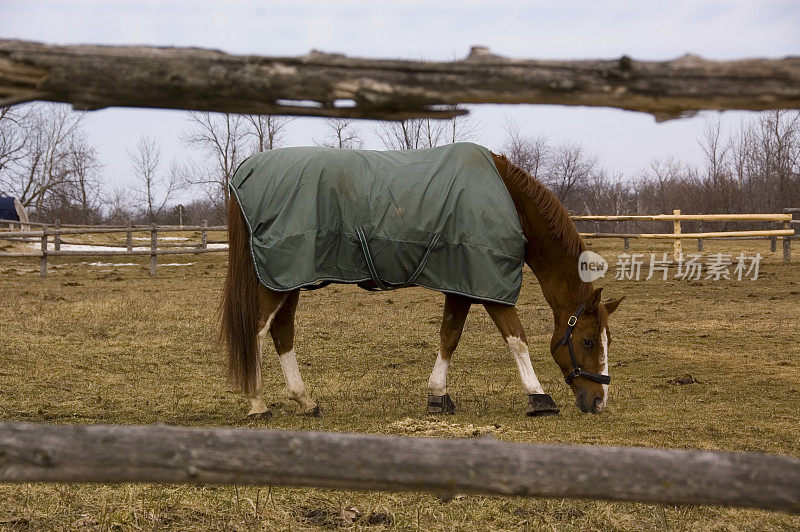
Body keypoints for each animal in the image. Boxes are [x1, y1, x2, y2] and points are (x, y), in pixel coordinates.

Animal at [220, 143, 624, 418]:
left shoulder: (462, 283)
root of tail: (245, 171)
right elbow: (517, 339)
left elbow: (449, 337)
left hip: (287, 279)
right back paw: (257, 403)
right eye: (589, 341)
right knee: (258, 330)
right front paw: (539, 396)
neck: (508, 201)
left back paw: (306, 401)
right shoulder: (488, 284)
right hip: (275, 281)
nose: (599, 402)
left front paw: (438, 395)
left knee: (281, 332)